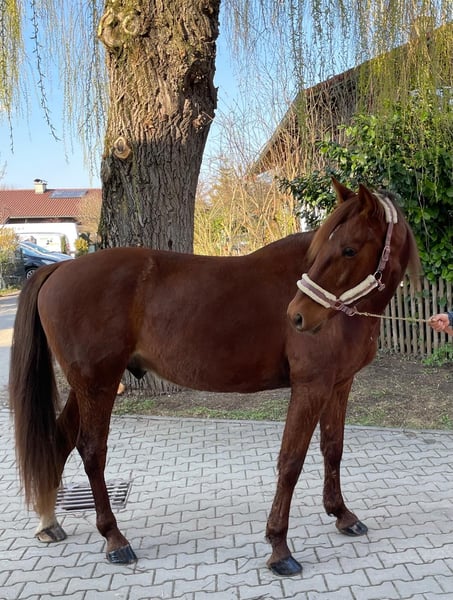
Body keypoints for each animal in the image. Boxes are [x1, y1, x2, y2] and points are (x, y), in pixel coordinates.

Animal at [9, 180, 419, 577]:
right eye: (323, 250)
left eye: (349, 250)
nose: (297, 316)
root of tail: (59, 270)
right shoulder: (310, 387)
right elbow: (291, 462)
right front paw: (279, 548)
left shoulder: (338, 384)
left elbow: (333, 448)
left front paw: (342, 515)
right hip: (98, 385)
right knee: (92, 451)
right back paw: (114, 539)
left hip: (87, 386)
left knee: (60, 439)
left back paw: (49, 522)